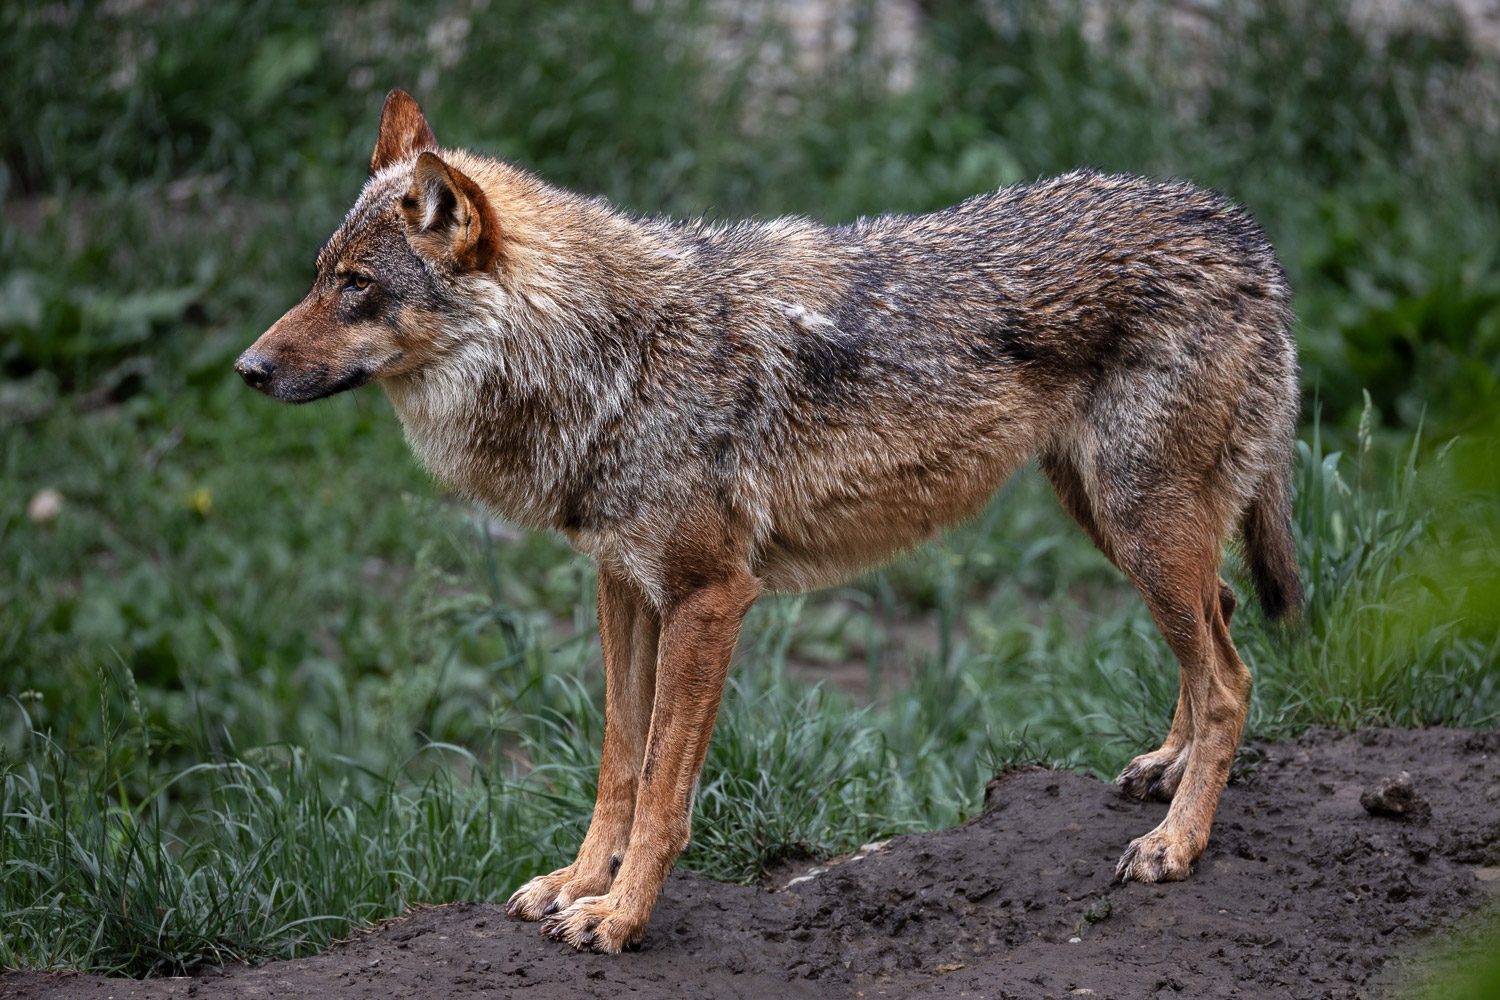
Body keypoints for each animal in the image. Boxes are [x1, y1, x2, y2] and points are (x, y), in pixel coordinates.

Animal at [237, 90, 1301, 953]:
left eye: (357, 289)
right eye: (320, 275)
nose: (246, 369)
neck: (606, 362)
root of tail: (1243, 230)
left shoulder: (710, 598)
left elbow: (664, 791)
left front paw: (620, 919)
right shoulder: (624, 586)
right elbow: (618, 766)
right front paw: (578, 884)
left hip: (1137, 526)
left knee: (1232, 678)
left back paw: (1176, 842)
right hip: (1116, 522)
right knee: (1221, 618)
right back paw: (1168, 772)